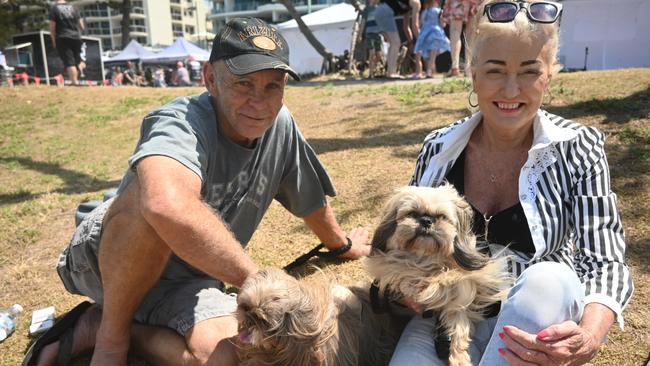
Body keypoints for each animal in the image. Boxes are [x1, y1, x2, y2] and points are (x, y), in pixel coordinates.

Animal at [364, 186, 512, 366]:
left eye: (442, 216)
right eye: (412, 213)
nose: (426, 221)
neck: (426, 258)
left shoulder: (460, 296)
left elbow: (458, 325)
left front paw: (458, 358)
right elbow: (401, 271)